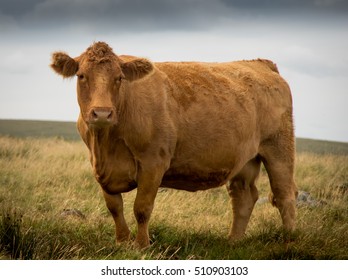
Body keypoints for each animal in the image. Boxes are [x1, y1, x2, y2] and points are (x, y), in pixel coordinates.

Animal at [50, 41, 298, 247]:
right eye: (81, 75)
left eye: (119, 78)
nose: (102, 113)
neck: (107, 144)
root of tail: (262, 64)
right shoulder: (100, 168)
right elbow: (114, 207)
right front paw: (121, 242)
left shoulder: (153, 163)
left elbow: (142, 208)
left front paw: (141, 246)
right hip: (246, 159)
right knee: (244, 197)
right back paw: (233, 241)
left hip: (279, 149)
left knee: (284, 196)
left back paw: (289, 241)